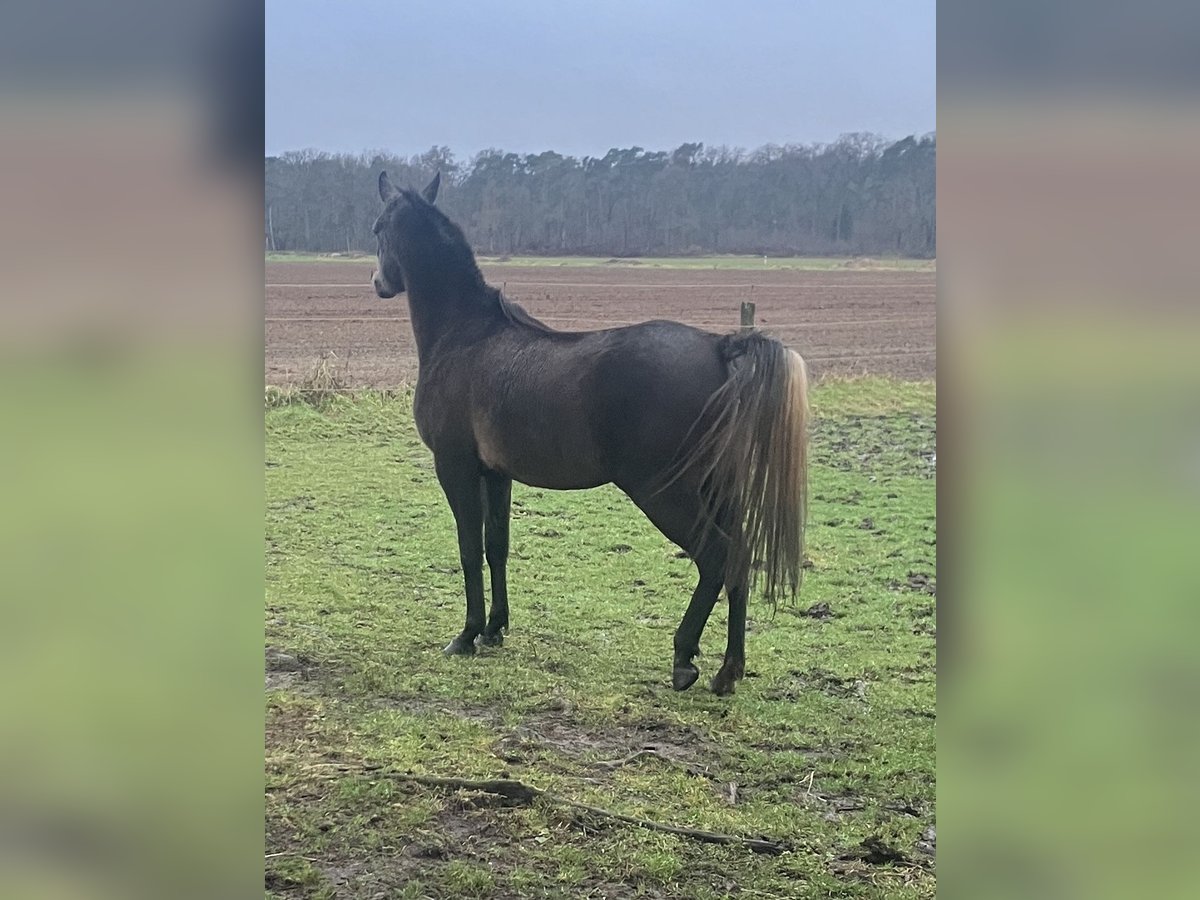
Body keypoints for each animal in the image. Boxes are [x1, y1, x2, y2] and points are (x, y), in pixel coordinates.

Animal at [369, 170, 811, 696]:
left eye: (378, 228)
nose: (378, 283)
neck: (467, 336)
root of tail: (721, 346)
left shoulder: (454, 466)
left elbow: (469, 549)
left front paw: (467, 634)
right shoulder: (496, 474)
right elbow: (497, 547)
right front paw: (495, 629)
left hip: (665, 492)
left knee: (715, 555)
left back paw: (684, 659)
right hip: (716, 486)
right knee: (740, 556)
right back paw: (729, 671)